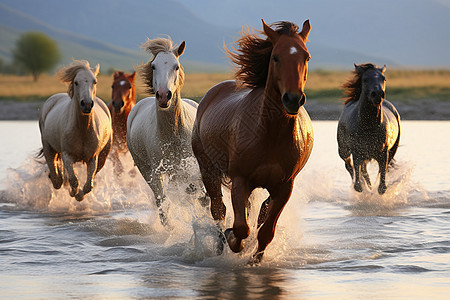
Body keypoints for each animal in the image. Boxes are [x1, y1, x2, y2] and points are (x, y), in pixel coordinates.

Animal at [39, 59, 112, 202]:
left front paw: (79, 195)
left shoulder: (93, 158)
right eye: (76, 82)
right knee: (56, 179)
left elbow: (88, 185)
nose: (87, 104)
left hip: (103, 156)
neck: (82, 130)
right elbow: (73, 180)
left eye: (94, 81)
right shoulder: (67, 155)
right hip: (48, 146)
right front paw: (73, 192)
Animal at [125, 37, 198, 225]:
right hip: (145, 169)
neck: (173, 133)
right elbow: (164, 204)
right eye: (153, 66)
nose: (164, 95)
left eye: (176, 66)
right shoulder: (157, 173)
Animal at [192, 19, 314, 264]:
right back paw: (219, 245)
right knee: (218, 210)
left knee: (258, 212)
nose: (293, 99)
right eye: (275, 57)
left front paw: (254, 259)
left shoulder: (284, 187)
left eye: (306, 57)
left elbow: (265, 230)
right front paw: (232, 240)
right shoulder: (241, 180)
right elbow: (241, 227)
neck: (270, 135)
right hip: (208, 169)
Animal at [338, 63, 400, 195]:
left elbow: (382, 177)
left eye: (383, 78)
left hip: (391, 150)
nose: (377, 94)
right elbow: (357, 174)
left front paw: (378, 188)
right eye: (365, 79)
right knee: (350, 167)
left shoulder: (384, 152)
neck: (369, 126)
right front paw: (361, 187)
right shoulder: (357, 151)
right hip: (343, 151)